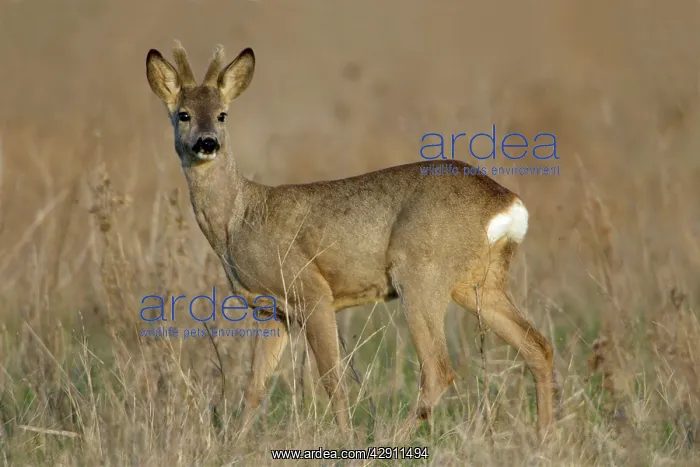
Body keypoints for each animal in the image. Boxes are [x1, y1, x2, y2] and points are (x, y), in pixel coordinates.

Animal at [145, 41, 558, 438]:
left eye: (222, 114)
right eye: (183, 114)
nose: (207, 143)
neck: (238, 218)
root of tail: (506, 202)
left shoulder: (311, 289)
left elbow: (333, 381)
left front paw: (346, 440)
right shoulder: (273, 310)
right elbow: (255, 387)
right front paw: (233, 443)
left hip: (421, 273)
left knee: (439, 370)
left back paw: (385, 444)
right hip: (479, 282)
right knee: (538, 346)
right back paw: (542, 438)